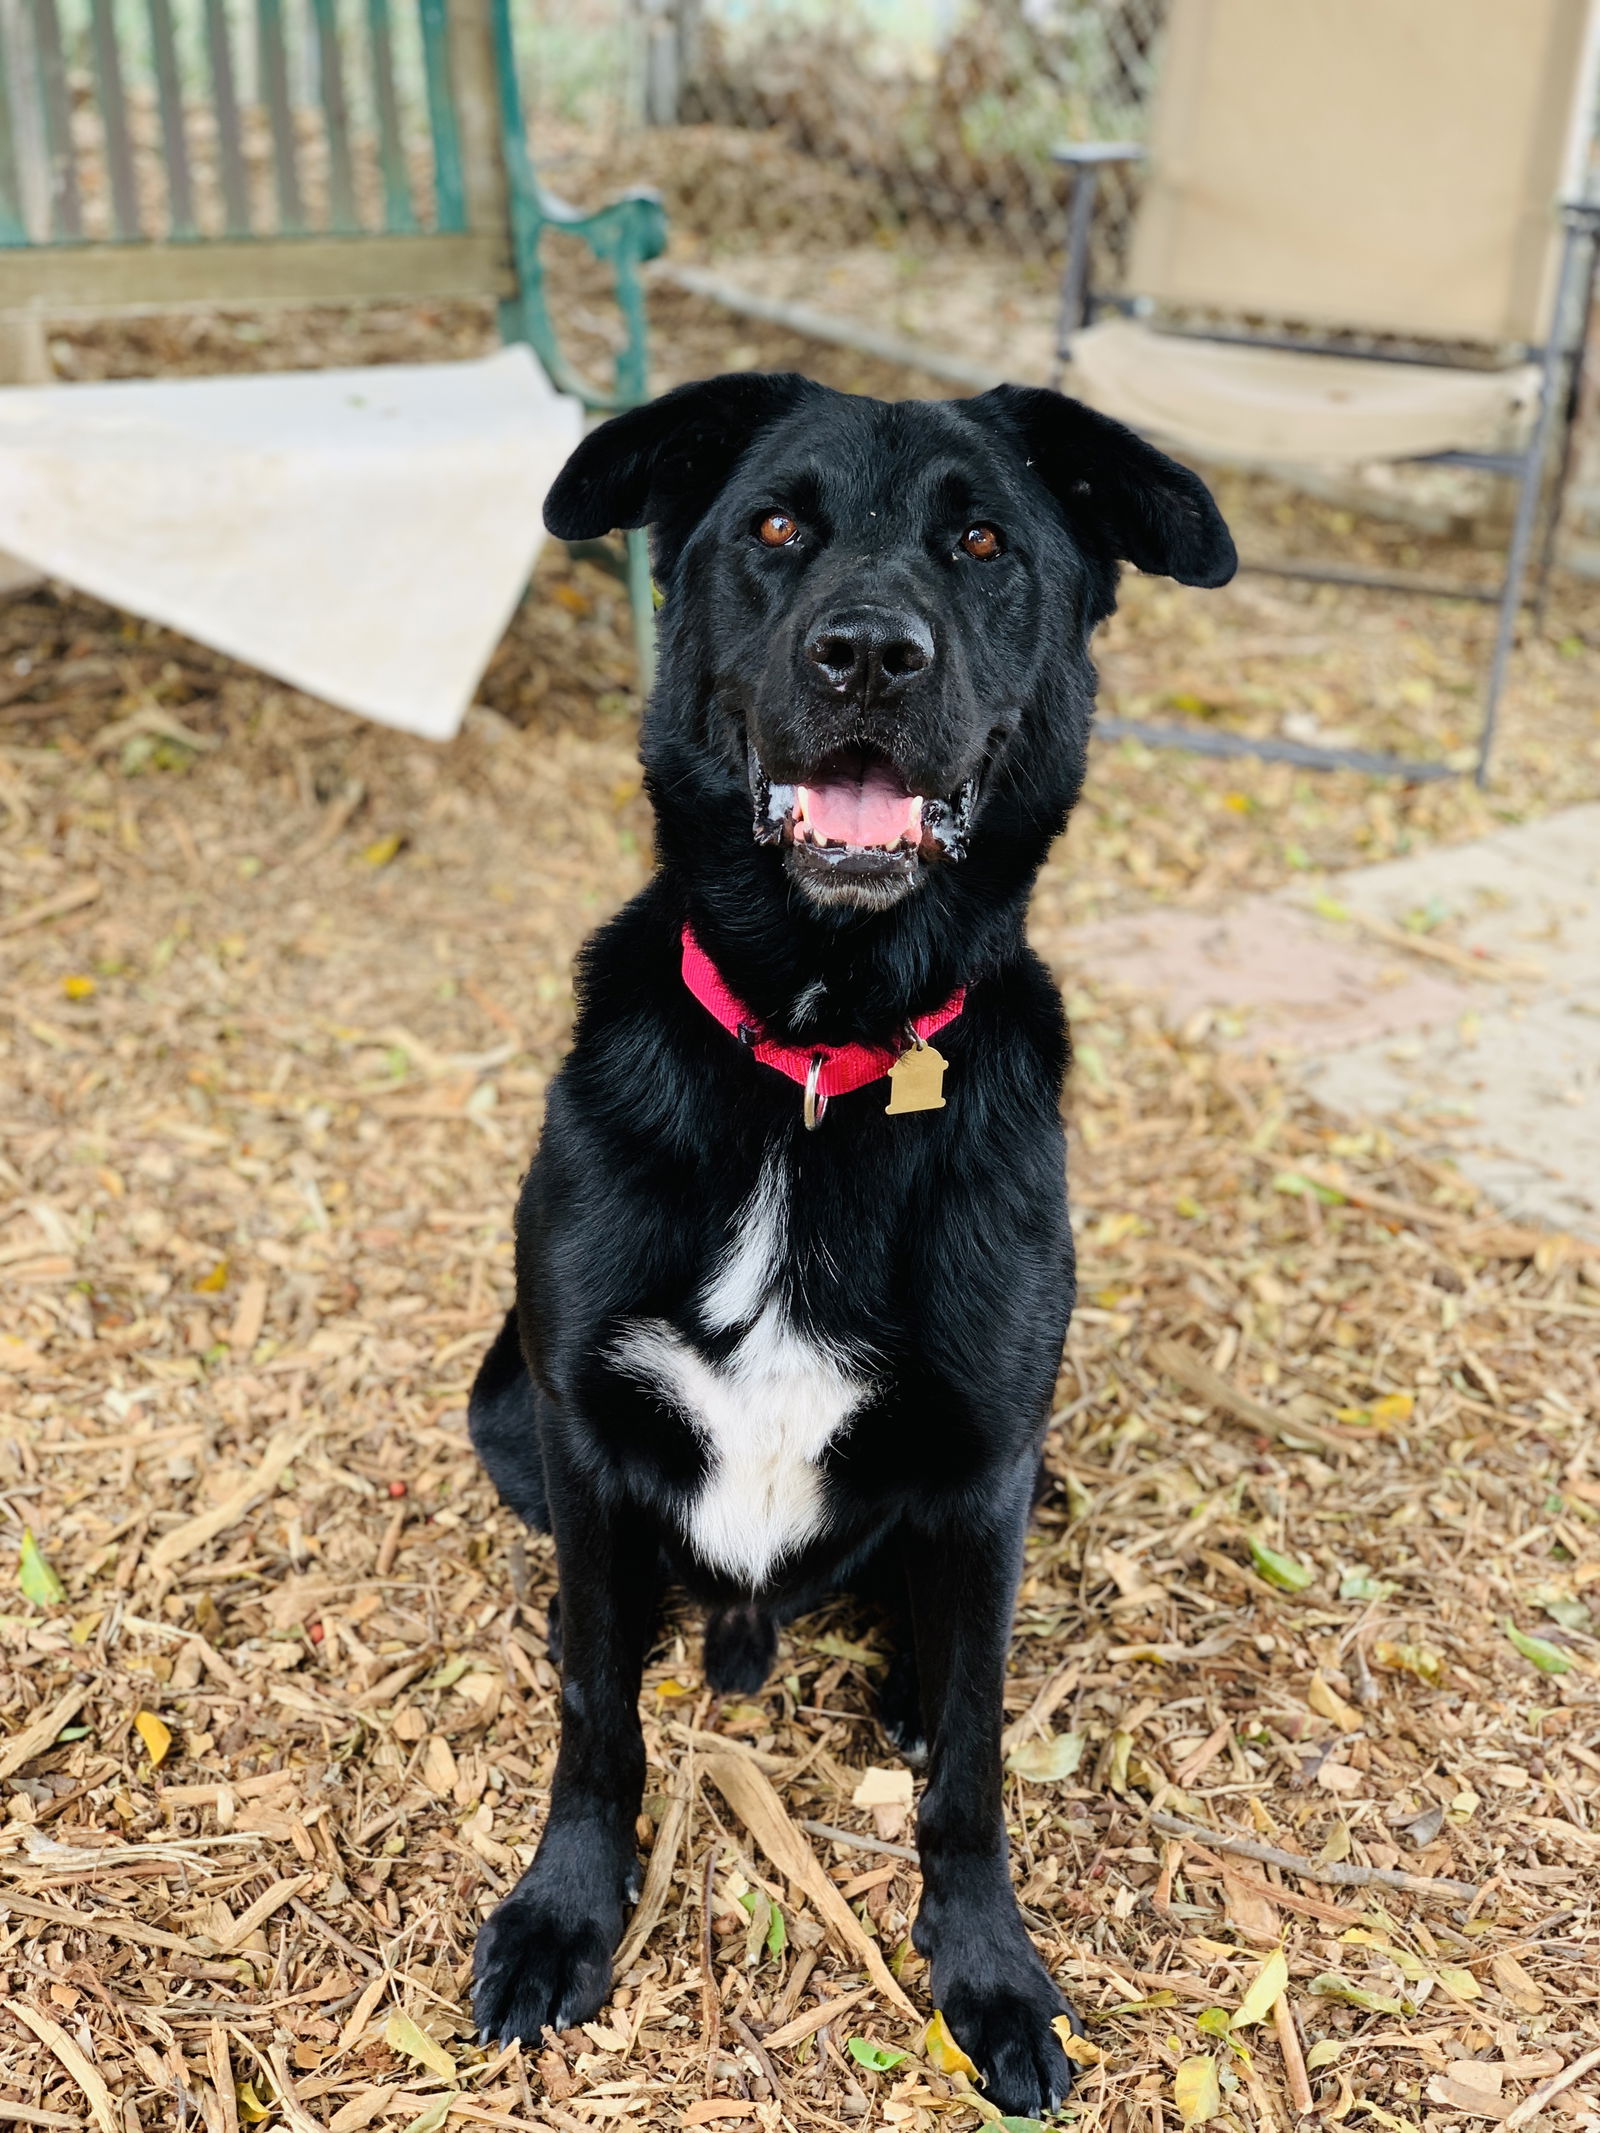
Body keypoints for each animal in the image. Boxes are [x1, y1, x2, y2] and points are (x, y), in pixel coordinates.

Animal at [469, 371, 1237, 2115]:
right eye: (774, 526)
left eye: (984, 541)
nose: (871, 653)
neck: (821, 1065)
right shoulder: (580, 1420)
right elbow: (594, 1713)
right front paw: (563, 1913)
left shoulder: (990, 1450)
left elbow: (976, 1763)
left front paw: (990, 1973)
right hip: (503, 1409)